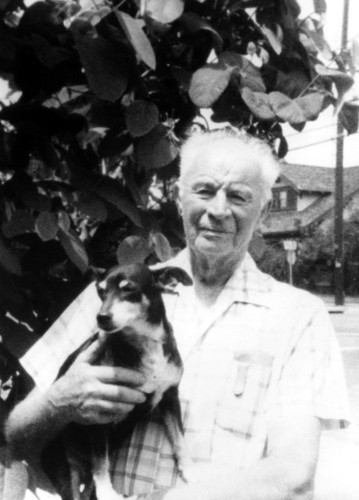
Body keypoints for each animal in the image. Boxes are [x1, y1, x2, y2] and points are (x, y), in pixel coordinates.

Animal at [41, 262, 193, 500]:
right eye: (100, 292)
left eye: (128, 288)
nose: (101, 317)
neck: (145, 342)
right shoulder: (99, 414)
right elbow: (101, 465)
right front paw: (108, 493)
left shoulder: (169, 395)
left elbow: (179, 438)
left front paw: (190, 470)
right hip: (66, 466)